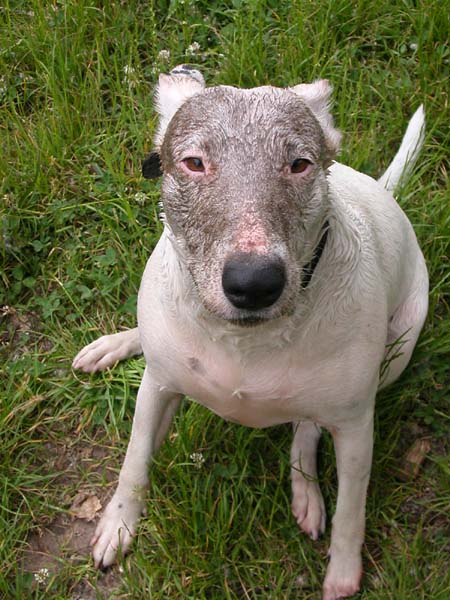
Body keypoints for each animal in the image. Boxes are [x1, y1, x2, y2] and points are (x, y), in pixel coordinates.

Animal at [72, 65, 428, 600]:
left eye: (299, 164)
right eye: (194, 162)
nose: (254, 282)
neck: (245, 340)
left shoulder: (355, 428)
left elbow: (352, 509)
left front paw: (343, 572)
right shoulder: (157, 387)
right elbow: (135, 461)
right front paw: (118, 526)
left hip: (400, 346)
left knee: (307, 428)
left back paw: (306, 491)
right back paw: (113, 345)